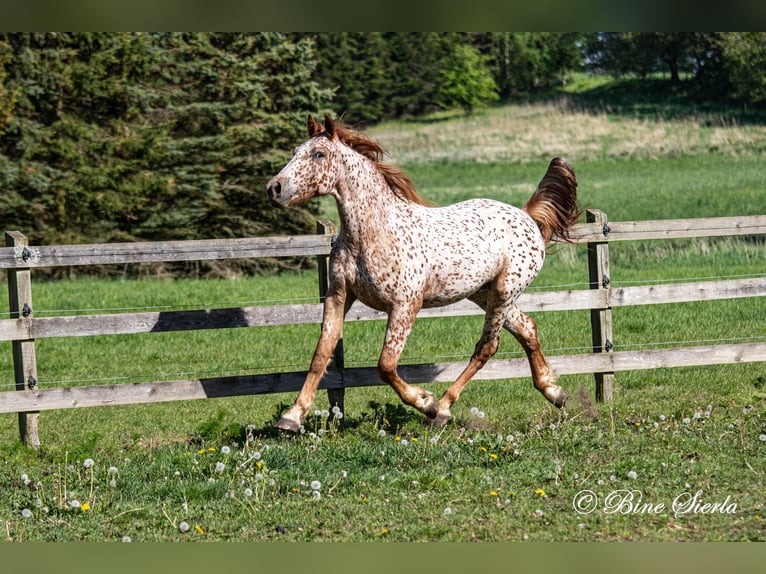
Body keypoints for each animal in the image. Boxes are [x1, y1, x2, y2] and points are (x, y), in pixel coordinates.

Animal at [268, 113, 580, 432]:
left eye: (318, 154)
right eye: (294, 151)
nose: (275, 188)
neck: (372, 232)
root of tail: (526, 215)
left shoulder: (405, 305)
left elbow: (386, 365)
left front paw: (425, 402)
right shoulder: (338, 296)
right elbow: (321, 355)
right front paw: (291, 417)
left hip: (504, 292)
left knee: (487, 346)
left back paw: (442, 408)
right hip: (485, 293)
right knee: (527, 328)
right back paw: (555, 392)